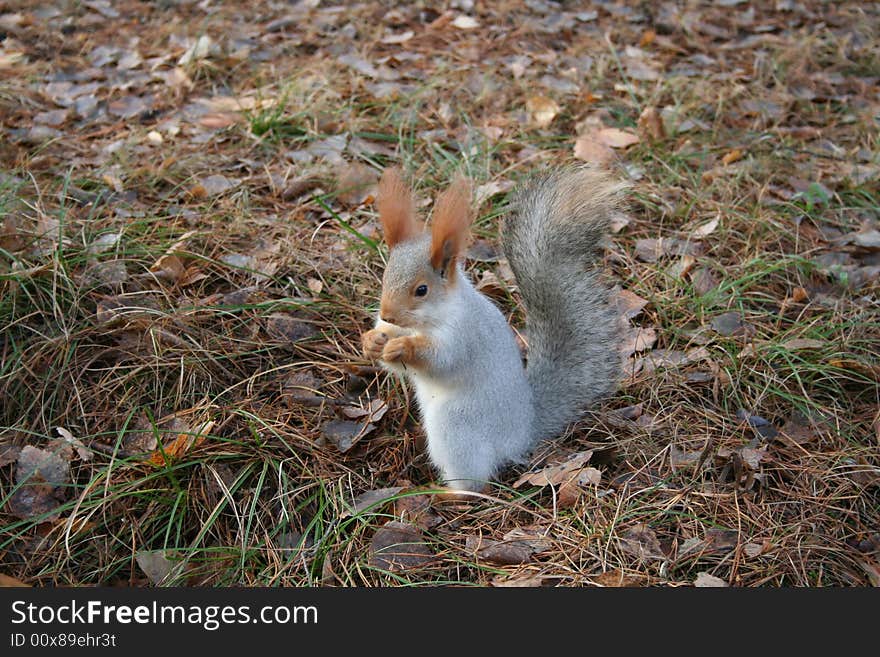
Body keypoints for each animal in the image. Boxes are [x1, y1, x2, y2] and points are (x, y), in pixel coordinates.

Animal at [360, 167, 624, 490]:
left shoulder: (466, 334)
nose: (387, 314)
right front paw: (373, 341)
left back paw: (446, 493)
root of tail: (522, 431)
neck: (423, 322)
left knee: (474, 484)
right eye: (385, 277)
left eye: (421, 290)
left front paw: (404, 347)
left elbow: (443, 361)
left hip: (457, 426)